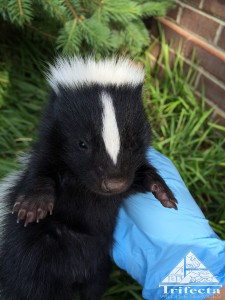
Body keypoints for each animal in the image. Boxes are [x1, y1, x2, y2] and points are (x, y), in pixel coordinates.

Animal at [0, 56, 178, 300]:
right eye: (82, 143)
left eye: (132, 142)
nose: (114, 183)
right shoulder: (49, 150)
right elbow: (41, 168)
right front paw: (33, 204)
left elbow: (140, 176)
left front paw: (163, 191)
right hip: (33, 260)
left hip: (100, 265)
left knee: (94, 287)